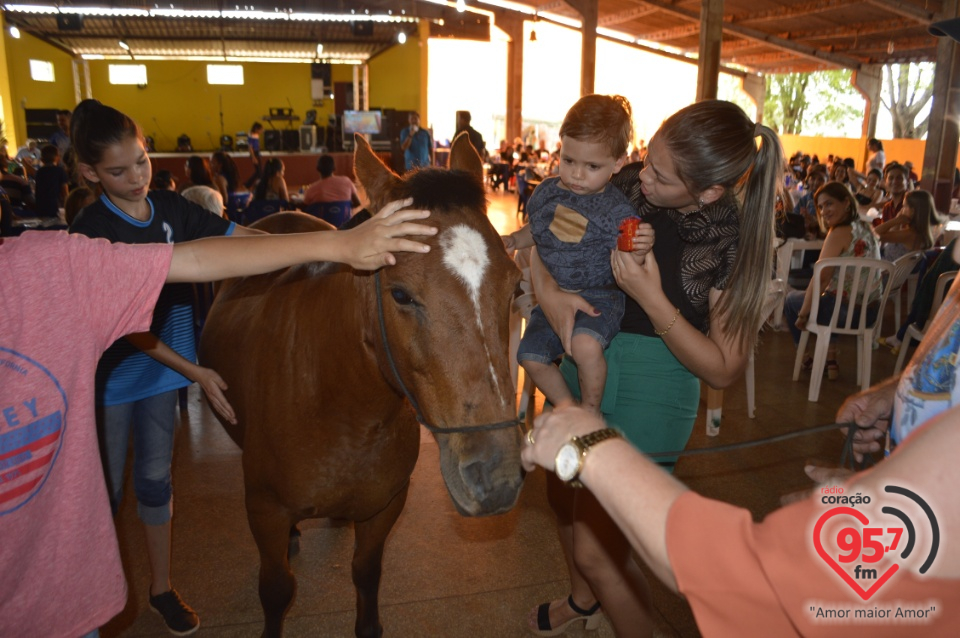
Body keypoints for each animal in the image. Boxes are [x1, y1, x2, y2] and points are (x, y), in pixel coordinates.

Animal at [197, 132, 524, 636]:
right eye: (401, 294)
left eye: (515, 287)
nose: (497, 478)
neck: (339, 406)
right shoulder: (265, 511)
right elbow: (276, 589)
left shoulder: (384, 507)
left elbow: (366, 573)